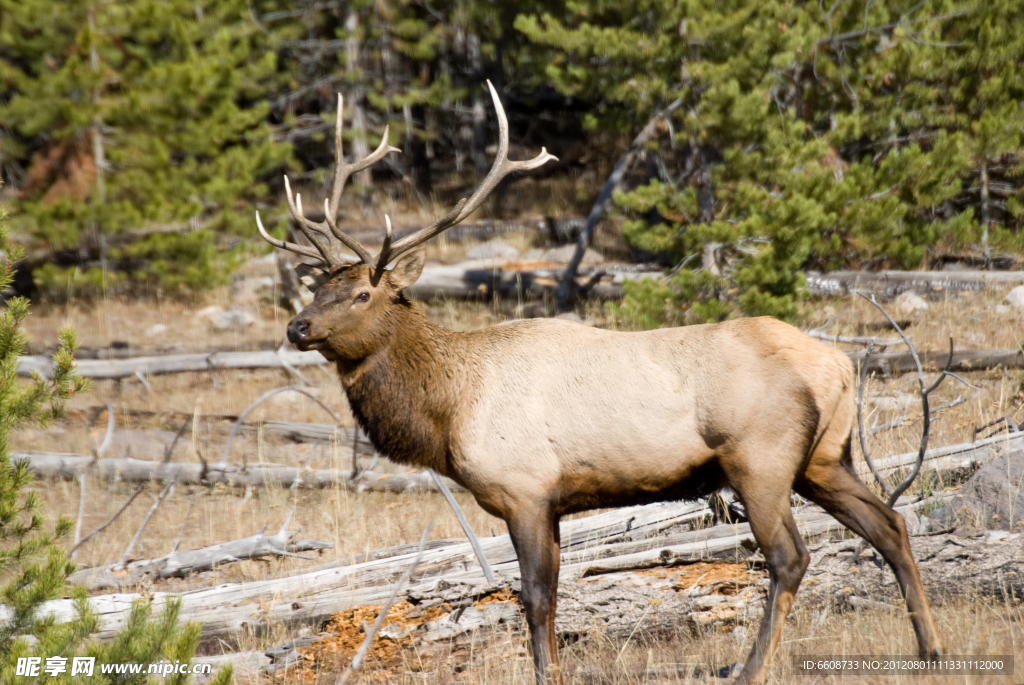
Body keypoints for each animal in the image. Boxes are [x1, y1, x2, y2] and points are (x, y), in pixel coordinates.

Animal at [258, 82, 942, 679]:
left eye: (363, 293)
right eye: (319, 288)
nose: (297, 326)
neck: (449, 408)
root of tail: (839, 364)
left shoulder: (525, 488)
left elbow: (536, 597)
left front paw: (547, 675)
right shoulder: (555, 500)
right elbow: (549, 597)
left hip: (761, 457)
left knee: (789, 558)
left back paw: (750, 669)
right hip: (825, 457)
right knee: (891, 523)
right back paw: (929, 649)